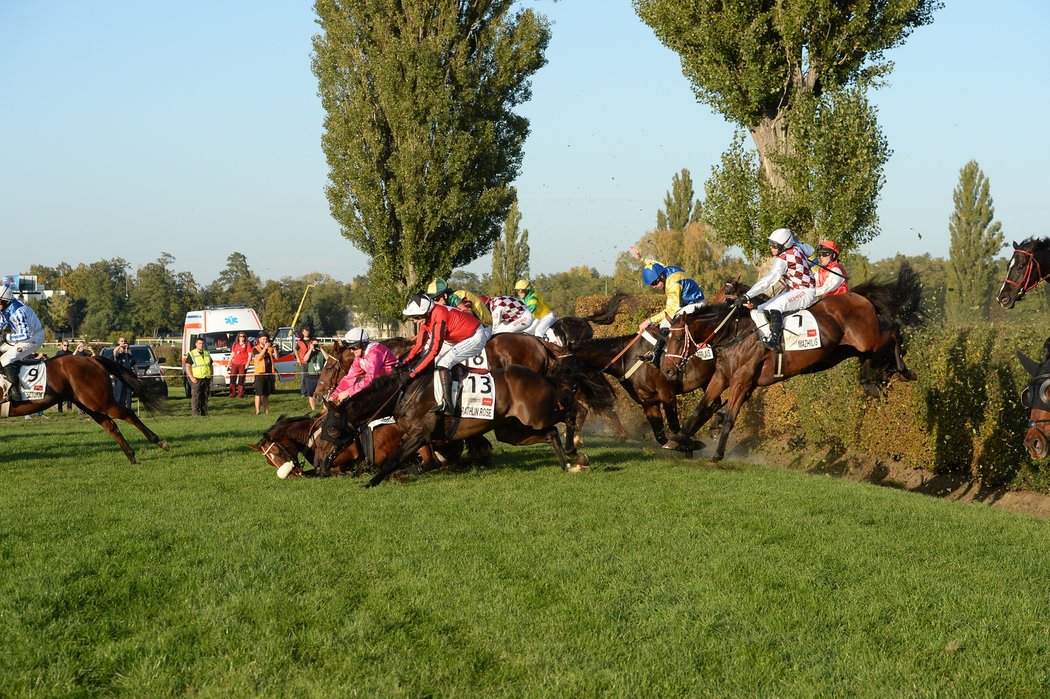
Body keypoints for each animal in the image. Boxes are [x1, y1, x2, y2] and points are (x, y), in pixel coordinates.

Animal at [2, 354, 168, 461]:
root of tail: (91, 359)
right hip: (88, 405)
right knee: (111, 426)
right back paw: (131, 455)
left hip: (100, 402)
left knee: (128, 414)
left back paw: (158, 441)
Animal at [659, 262, 923, 457]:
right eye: (667, 336)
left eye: (678, 338)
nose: (668, 370)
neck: (736, 332)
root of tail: (858, 297)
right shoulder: (722, 376)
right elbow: (700, 408)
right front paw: (678, 439)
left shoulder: (742, 381)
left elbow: (730, 418)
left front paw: (717, 453)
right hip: (850, 347)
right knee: (870, 353)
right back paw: (872, 383)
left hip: (869, 338)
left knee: (894, 331)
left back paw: (905, 371)